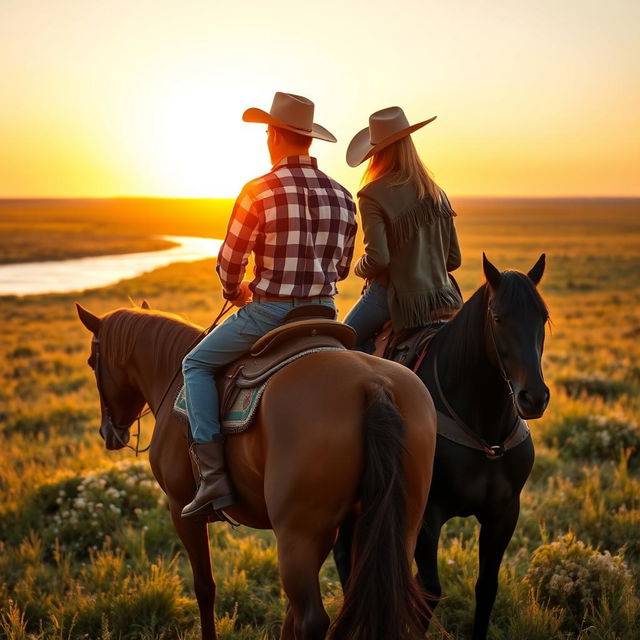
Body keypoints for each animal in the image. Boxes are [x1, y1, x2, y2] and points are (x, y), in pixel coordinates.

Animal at [75, 304, 436, 640]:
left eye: (92, 362)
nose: (108, 432)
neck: (174, 375)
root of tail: (373, 384)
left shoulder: (181, 509)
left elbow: (204, 586)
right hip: (392, 526)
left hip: (300, 534)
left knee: (312, 620)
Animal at [336, 255, 552, 640]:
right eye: (498, 317)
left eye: (542, 317)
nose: (534, 398)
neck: (484, 431)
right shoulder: (427, 514)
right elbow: (428, 590)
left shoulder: (504, 513)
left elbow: (486, 587)